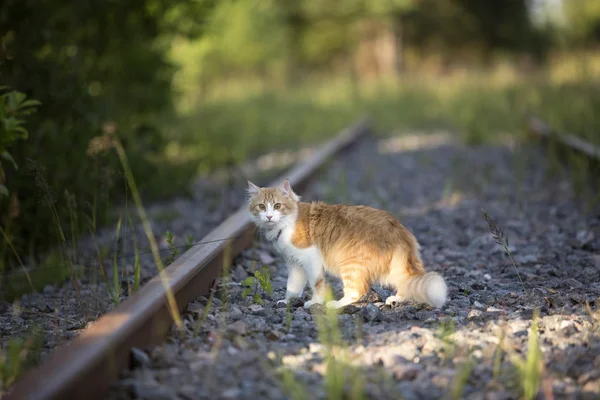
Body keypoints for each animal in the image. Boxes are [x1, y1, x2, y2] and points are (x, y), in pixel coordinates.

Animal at [246, 179, 448, 310]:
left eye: (277, 206)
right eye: (262, 207)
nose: (269, 216)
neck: (286, 224)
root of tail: (398, 230)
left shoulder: (310, 258)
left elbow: (316, 284)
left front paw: (315, 302)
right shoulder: (294, 264)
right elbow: (292, 287)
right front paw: (287, 302)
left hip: (350, 263)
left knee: (357, 292)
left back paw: (336, 305)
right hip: (393, 268)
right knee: (404, 283)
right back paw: (396, 300)